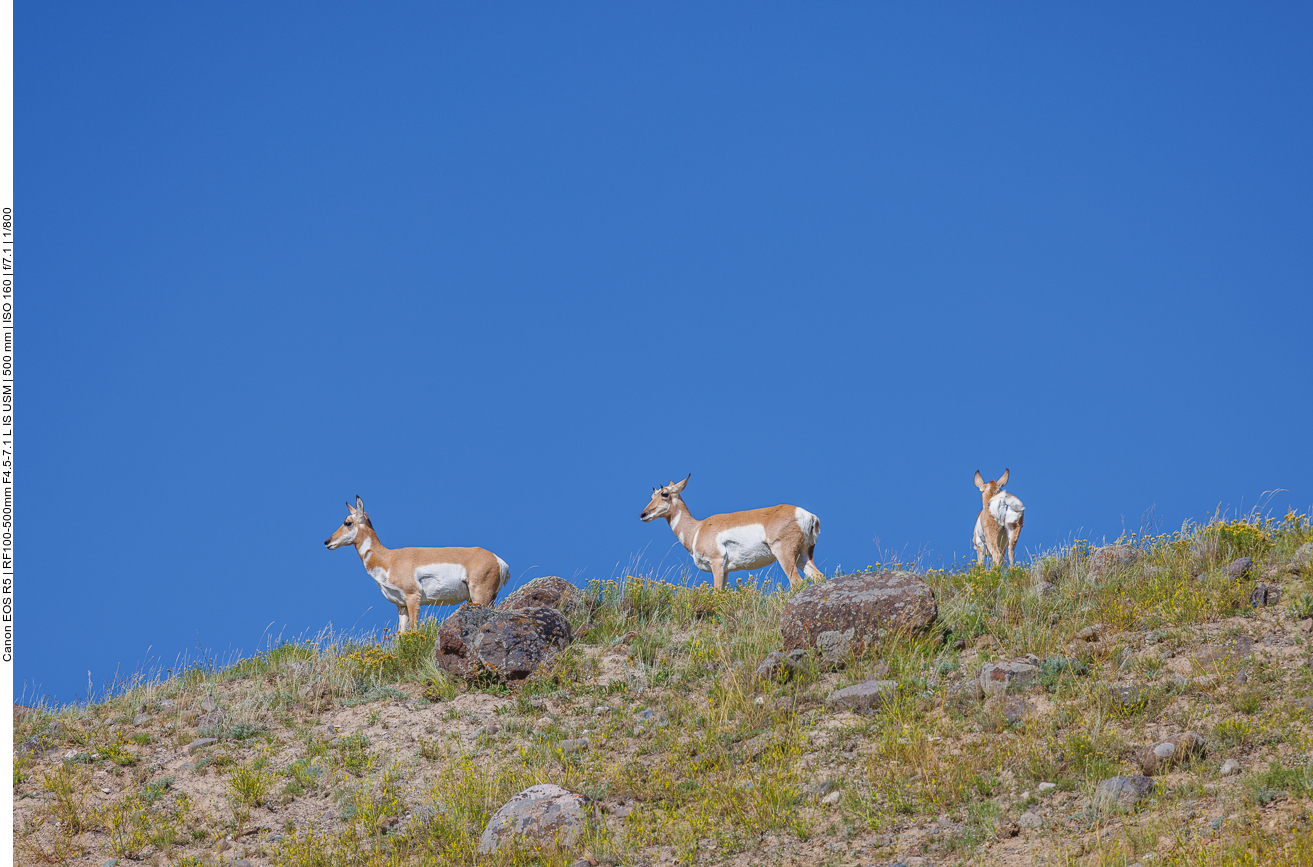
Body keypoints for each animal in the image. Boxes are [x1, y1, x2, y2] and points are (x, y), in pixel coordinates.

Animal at [325, 496, 509, 633]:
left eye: (348, 522)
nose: (327, 542)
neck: (389, 558)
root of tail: (498, 560)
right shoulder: (401, 606)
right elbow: (401, 635)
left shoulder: (413, 597)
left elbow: (413, 629)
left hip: (480, 596)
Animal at [638, 472, 819, 588]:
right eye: (652, 495)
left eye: (665, 494)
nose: (643, 514)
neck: (698, 528)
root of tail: (807, 514)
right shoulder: (725, 570)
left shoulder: (716, 563)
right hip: (802, 556)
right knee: (818, 576)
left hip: (784, 554)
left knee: (796, 582)